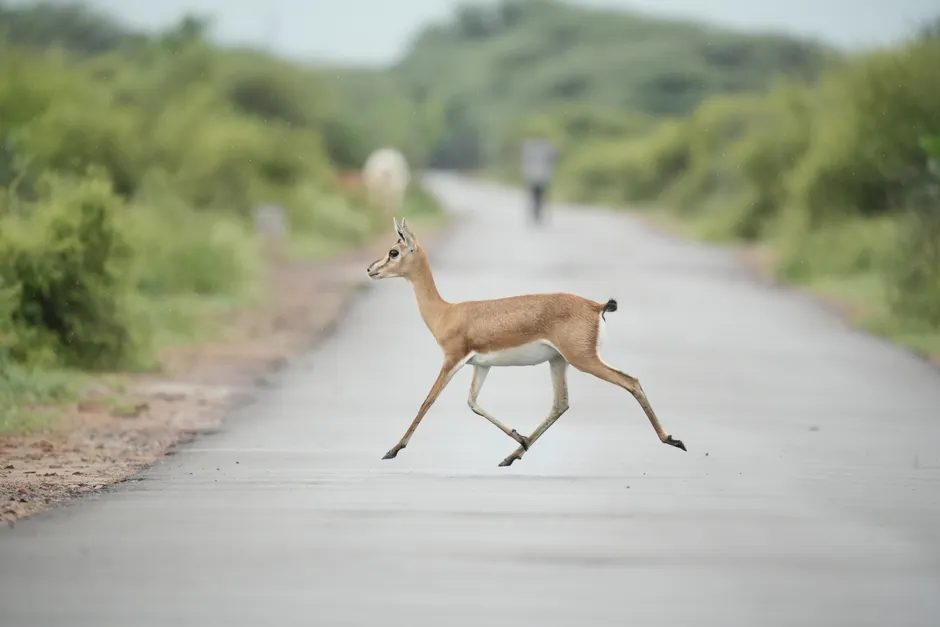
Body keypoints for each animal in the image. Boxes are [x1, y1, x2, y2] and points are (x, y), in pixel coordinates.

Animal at [367, 217, 687, 467]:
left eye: (394, 251)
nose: (371, 269)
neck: (446, 313)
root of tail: (597, 306)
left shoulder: (452, 359)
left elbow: (428, 401)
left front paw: (392, 450)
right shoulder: (480, 365)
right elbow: (472, 402)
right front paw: (519, 438)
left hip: (583, 360)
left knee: (630, 381)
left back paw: (672, 440)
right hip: (559, 361)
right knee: (561, 404)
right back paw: (512, 456)